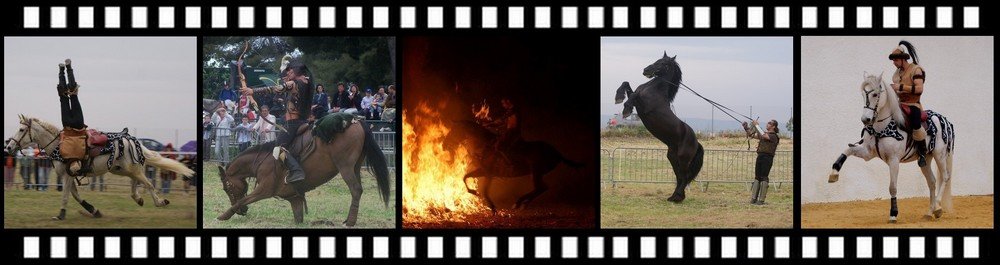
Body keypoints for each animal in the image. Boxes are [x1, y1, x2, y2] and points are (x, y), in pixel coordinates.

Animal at [6, 114, 195, 220]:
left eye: (22, 129)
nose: (8, 147)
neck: (60, 146)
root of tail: (131, 139)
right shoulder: (69, 176)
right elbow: (76, 196)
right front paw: (94, 211)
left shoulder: (68, 175)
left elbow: (66, 196)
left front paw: (60, 215)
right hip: (123, 169)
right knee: (135, 183)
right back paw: (139, 198)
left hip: (131, 168)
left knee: (148, 183)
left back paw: (160, 202)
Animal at [215, 119, 390, 225]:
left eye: (227, 188)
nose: (242, 212)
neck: (263, 160)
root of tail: (355, 121)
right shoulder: (295, 198)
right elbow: (298, 216)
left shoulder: (264, 190)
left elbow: (242, 200)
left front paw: (224, 216)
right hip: (355, 167)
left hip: (345, 167)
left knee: (355, 190)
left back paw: (350, 222)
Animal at [612, 52, 708, 202]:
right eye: (657, 60)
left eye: (663, 63)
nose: (646, 70)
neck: (655, 89)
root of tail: (697, 142)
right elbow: (626, 84)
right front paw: (619, 97)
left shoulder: (644, 106)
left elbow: (633, 95)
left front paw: (626, 109)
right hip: (673, 157)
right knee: (680, 177)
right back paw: (674, 197)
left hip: (683, 158)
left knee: (684, 176)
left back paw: (678, 197)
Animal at [824, 74, 956, 223]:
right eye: (863, 94)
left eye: (875, 94)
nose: (865, 119)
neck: (882, 127)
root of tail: (945, 121)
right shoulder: (867, 153)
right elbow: (848, 150)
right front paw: (834, 173)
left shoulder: (894, 160)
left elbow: (892, 187)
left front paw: (893, 214)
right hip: (926, 160)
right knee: (932, 182)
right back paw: (929, 212)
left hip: (939, 155)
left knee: (945, 177)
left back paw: (938, 207)